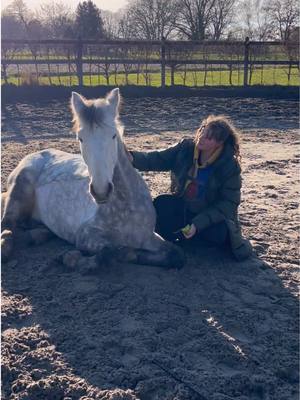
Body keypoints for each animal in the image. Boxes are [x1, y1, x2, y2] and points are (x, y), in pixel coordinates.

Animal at [1, 90, 185, 272]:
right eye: (80, 138)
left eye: (113, 135)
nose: (101, 191)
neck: (127, 209)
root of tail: (36, 154)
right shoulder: (85, 235)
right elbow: (110, 252)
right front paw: (70, 258)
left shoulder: (149, 237)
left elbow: (175, 255)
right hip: (18, 190)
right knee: (7, 226)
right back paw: (8, 249)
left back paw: (37, 236)